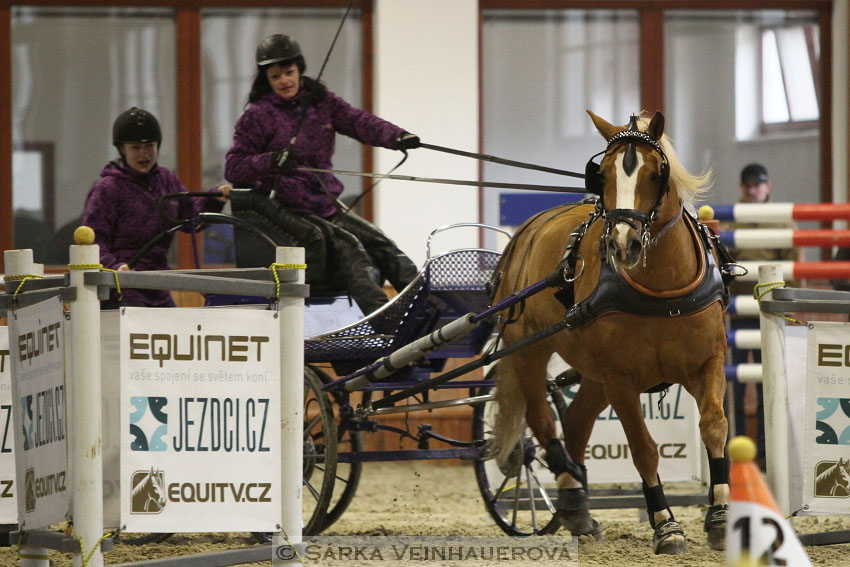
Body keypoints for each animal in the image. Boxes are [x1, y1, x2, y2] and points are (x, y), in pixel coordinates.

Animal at [490, 110, 728, 556]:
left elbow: (714, 427)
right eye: (601, 174)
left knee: (576, 423)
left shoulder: (708, 363)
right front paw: (665, 525)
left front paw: (720, 517)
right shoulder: (621, 379)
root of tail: (529, 230)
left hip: (593, 373)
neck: (661, 290)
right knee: (543, 421)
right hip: (529, 351)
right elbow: (643, 449)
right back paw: (569, 490)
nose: (623, 244)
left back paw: (577, 510)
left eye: (655, 174)